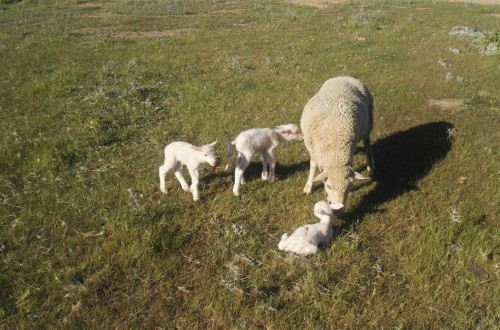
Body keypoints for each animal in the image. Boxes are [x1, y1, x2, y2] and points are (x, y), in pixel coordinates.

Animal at [298, 77, 374, 217]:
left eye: (350, 187)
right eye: (328, 187)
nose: (339, 212)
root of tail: (344, 76)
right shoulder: (313, 151)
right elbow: (312, 167)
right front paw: (308, 187)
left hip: (369, 124)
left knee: (367, 144)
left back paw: (370, 165)